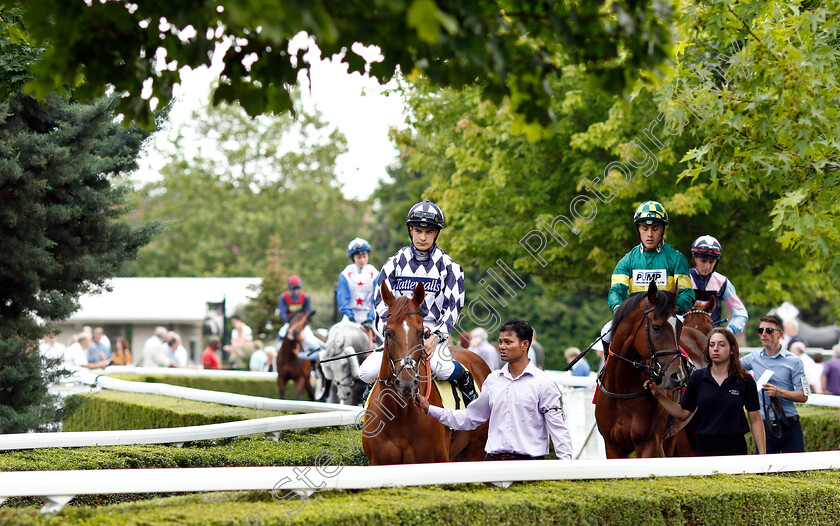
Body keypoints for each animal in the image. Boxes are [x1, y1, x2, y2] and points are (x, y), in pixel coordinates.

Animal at [362, 284, 492, 466]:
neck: (400, 415)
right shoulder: (379, 462)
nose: (407, 384)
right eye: (388, 332)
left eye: (420, 332)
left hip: (474, 453)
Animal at [592, 282, 692, 460]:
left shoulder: (649, 443)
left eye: (679, 327)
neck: (622, 389)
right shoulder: (612, 445)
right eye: (656, 327)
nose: (678, 376)